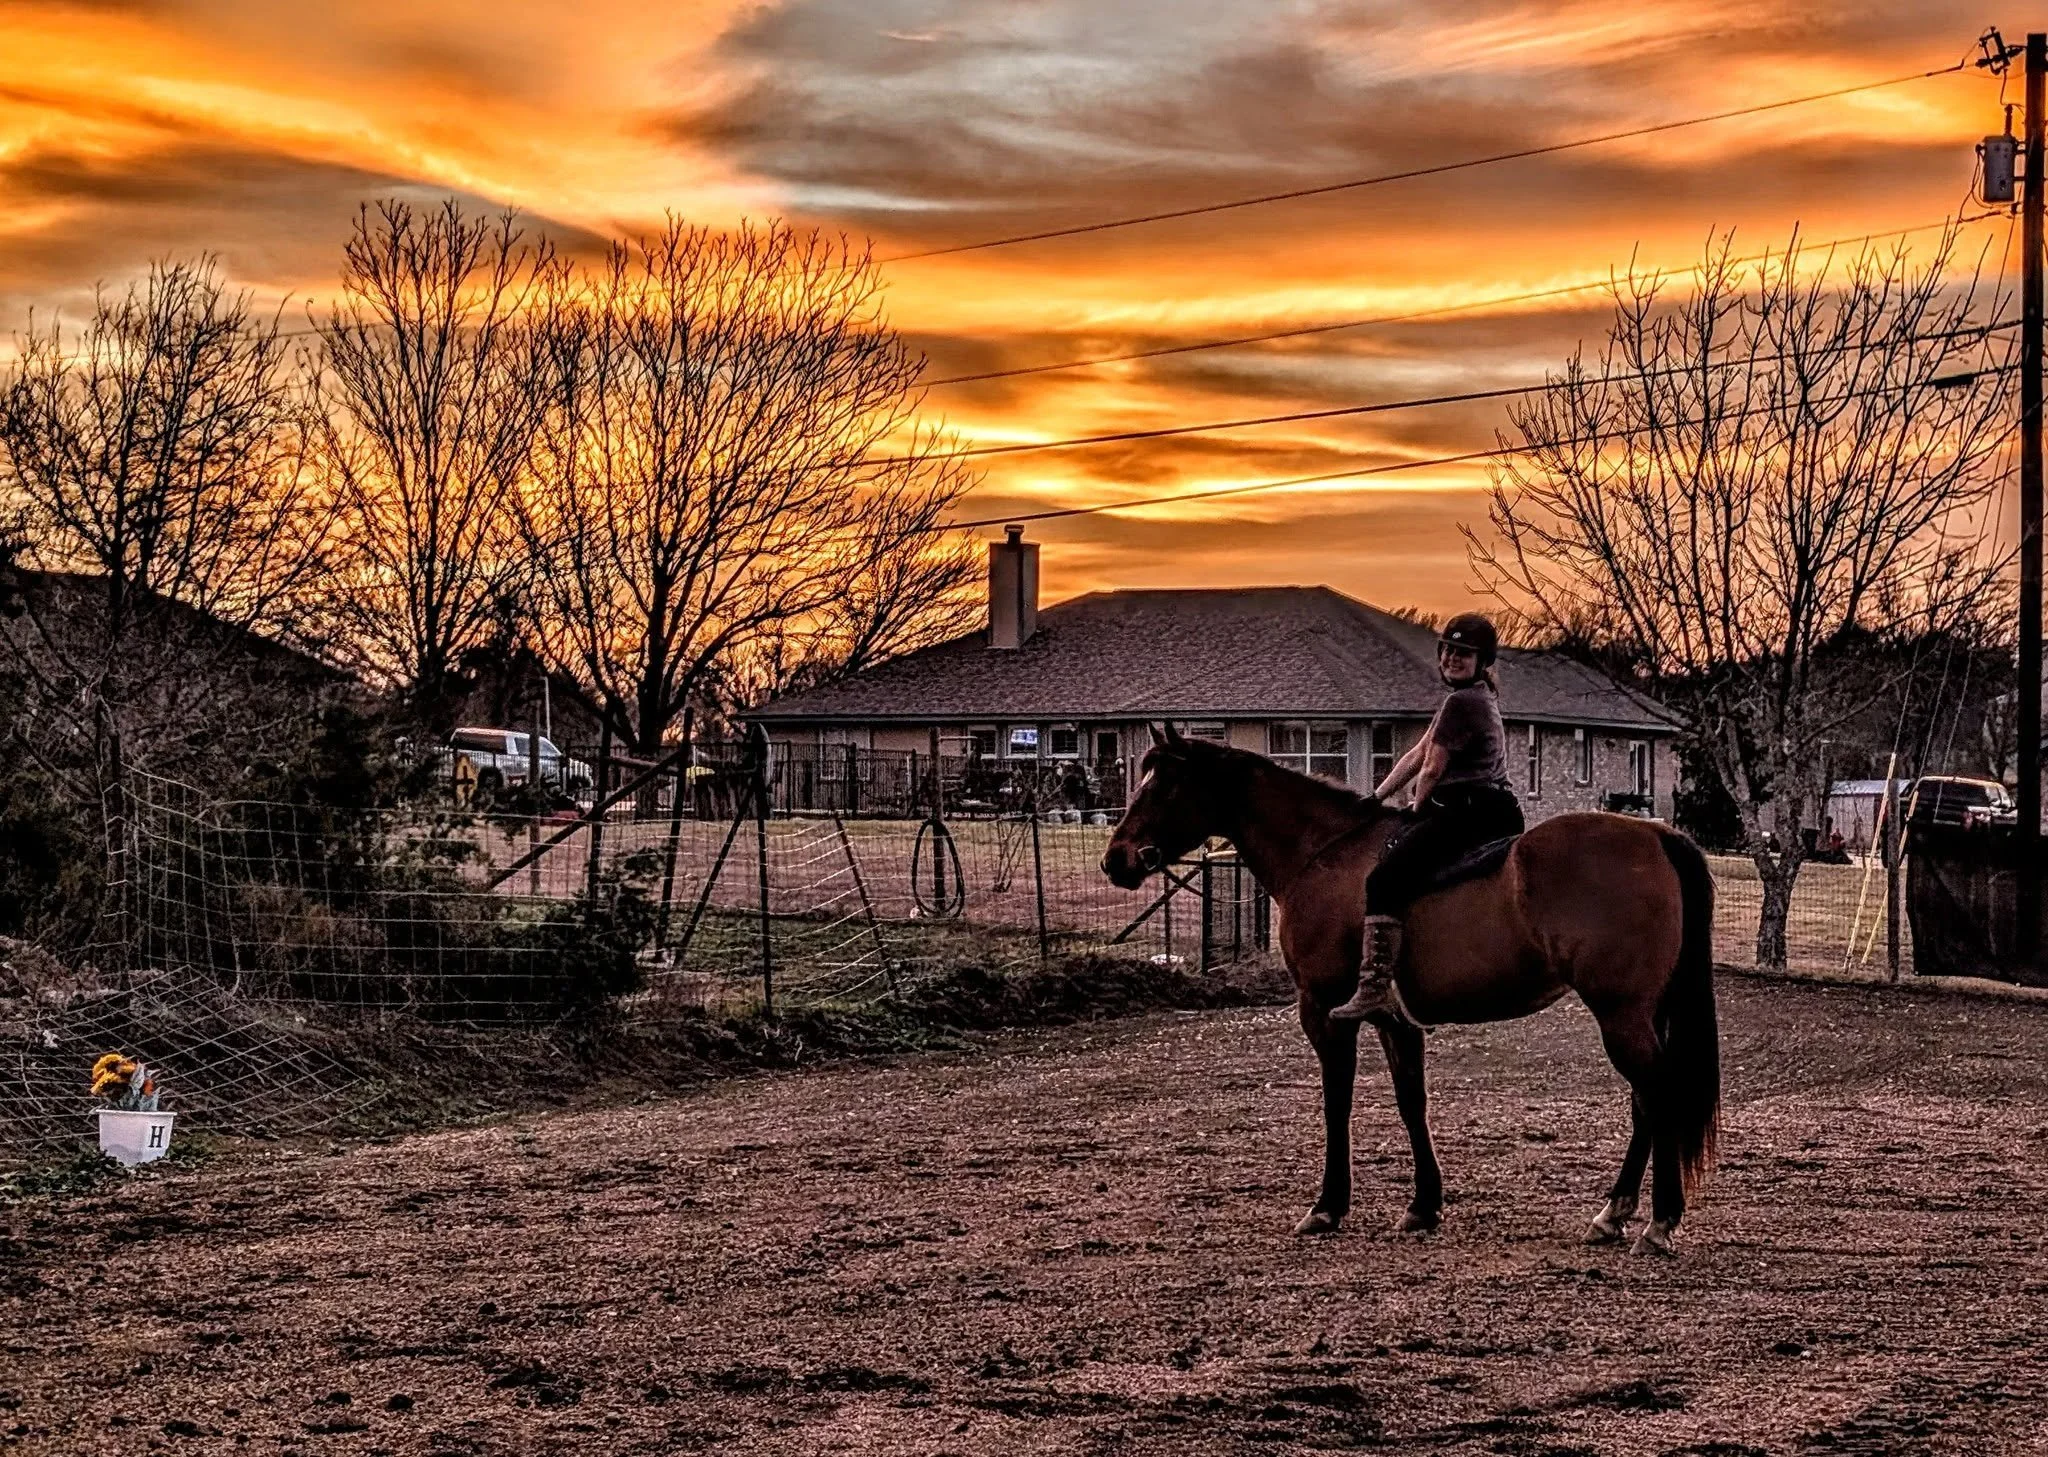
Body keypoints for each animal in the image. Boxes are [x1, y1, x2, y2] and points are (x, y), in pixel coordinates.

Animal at [1100, 723, 1719, 1256]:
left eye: (1165, 785)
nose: (1115, 859)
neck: (1324, 853)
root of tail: (1656, 834)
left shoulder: (1323, 1012)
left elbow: (1337, 1102)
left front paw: (1328, 1206)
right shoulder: (1395, 1021)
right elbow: (1410, 1102)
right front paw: (1424, 1204)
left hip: (1621, 1015)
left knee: (1658, 1096)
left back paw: (1658, 1222)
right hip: (1638, 1015)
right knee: (1645, 1104)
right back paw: (1614, 1215)